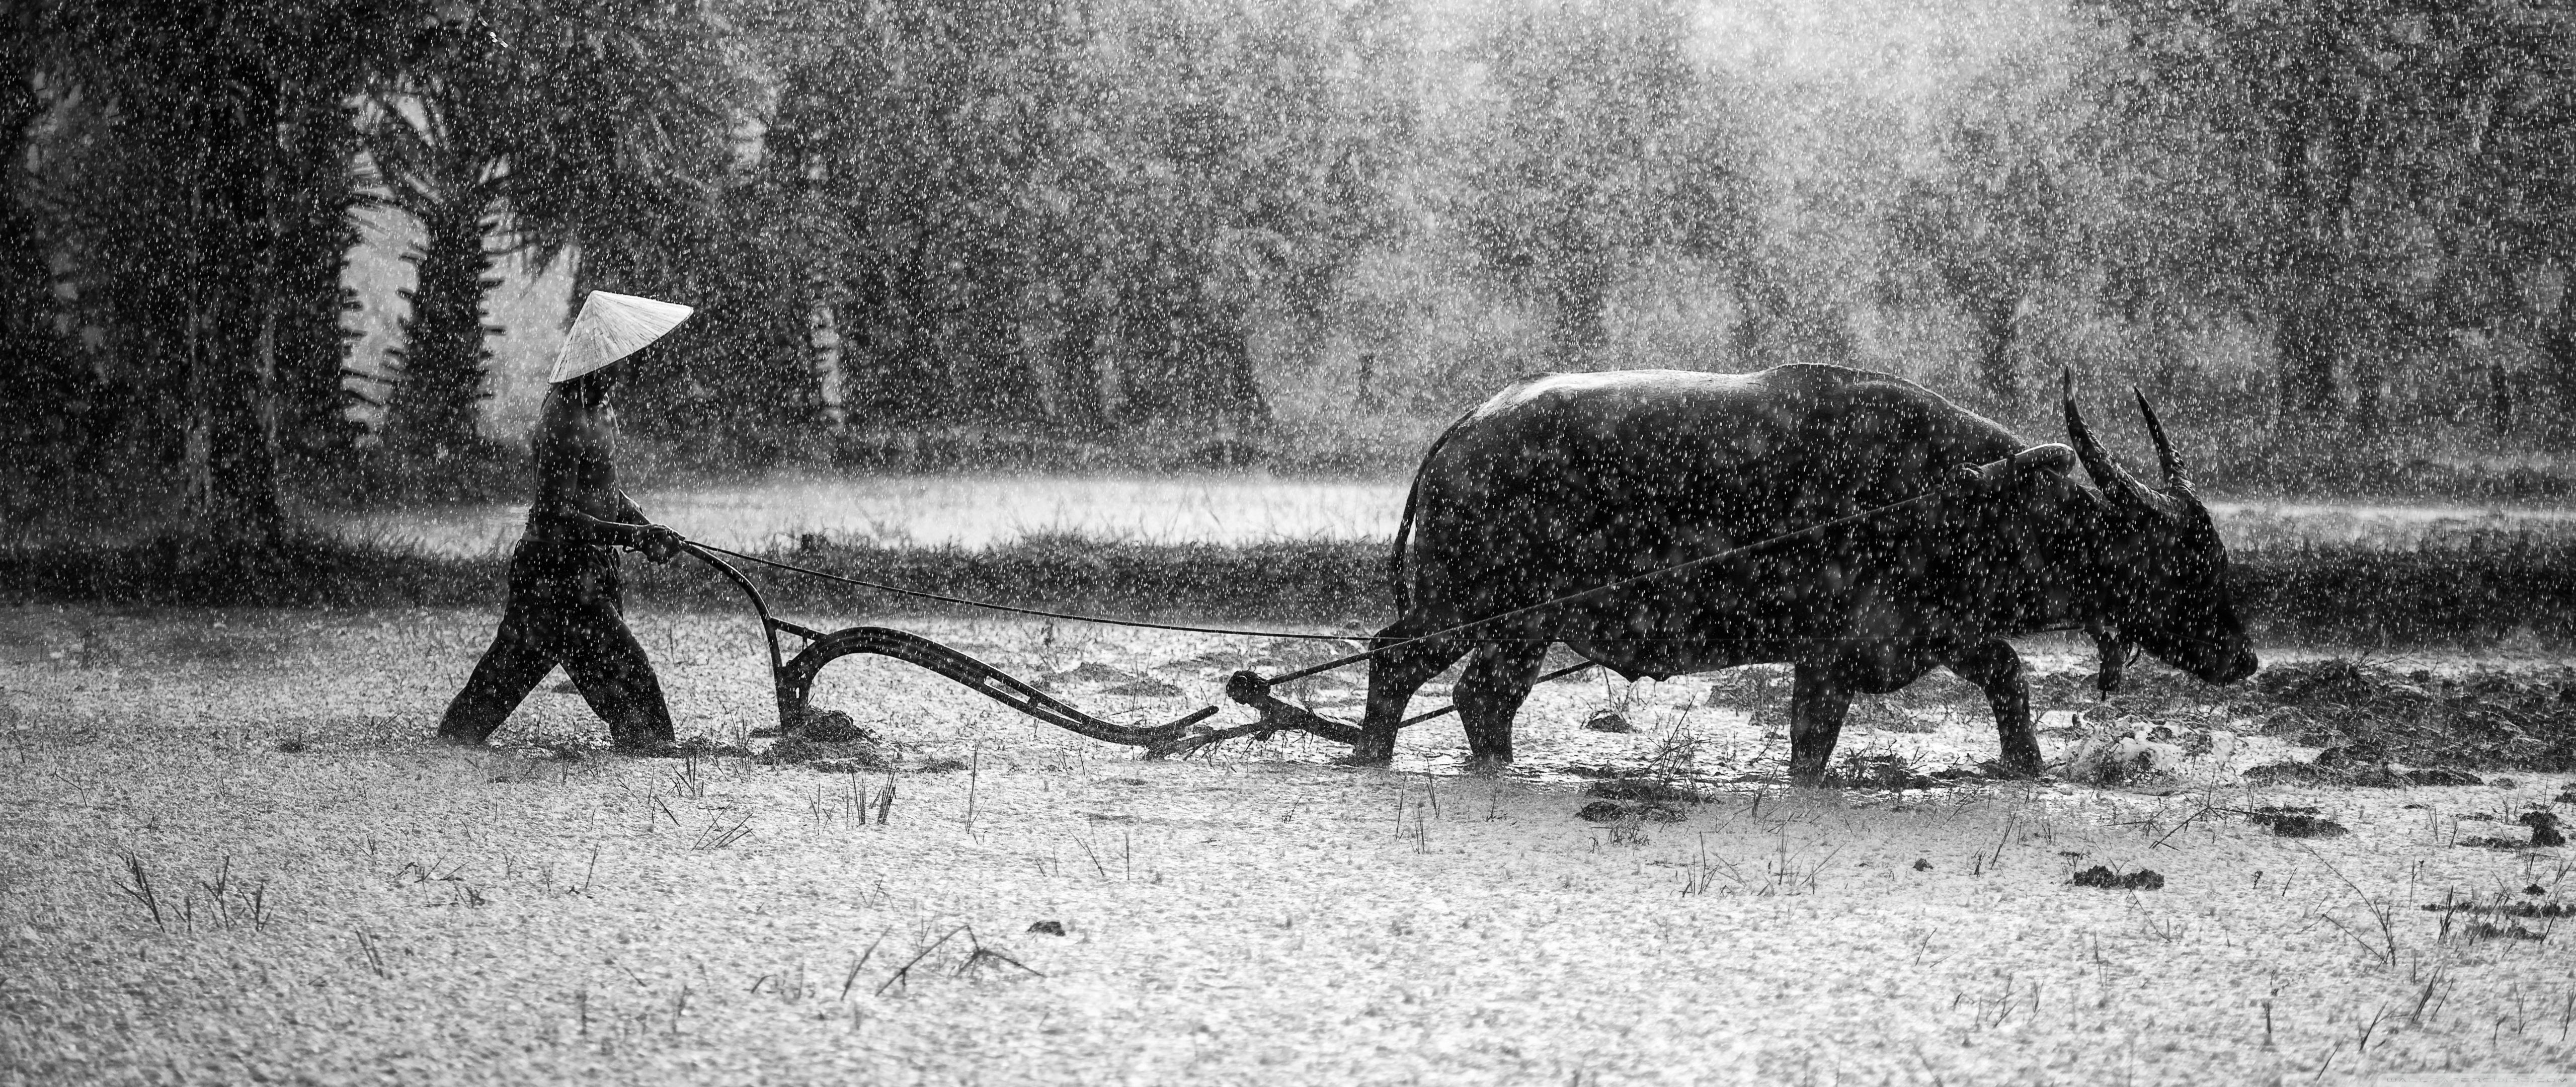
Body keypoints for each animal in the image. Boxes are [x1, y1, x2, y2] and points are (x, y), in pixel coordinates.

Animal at [1356, 363, 2257, 784]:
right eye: (2189, 566)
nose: (2246, 657)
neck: (1960, 493)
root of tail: (1464, 429)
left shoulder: (1935, 636)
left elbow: (2007, 679)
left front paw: (2027, 769)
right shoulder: (1839, 652)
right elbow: (1817, 741)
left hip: (1527, 625)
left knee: (1483, 696)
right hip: (1471, 602)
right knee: (1395, 657)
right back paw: (1368, 757)